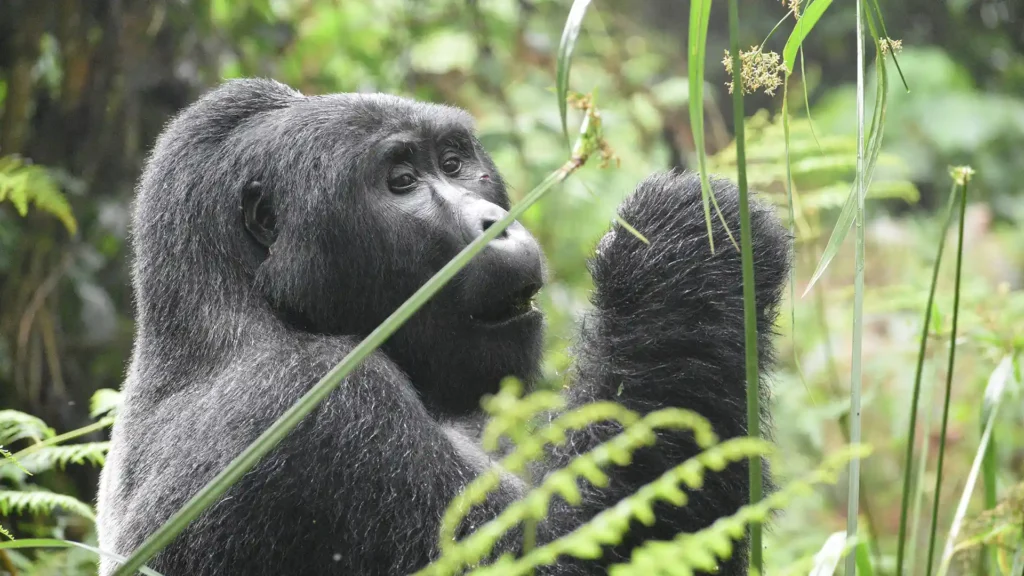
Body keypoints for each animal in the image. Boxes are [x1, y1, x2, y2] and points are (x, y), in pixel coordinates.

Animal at [96, 77, 790, 573]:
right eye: (402, 182)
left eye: (455, 163)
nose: (495, 222)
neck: (235, 307)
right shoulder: (311, 405)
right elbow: (577, 550)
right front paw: (688, 246)